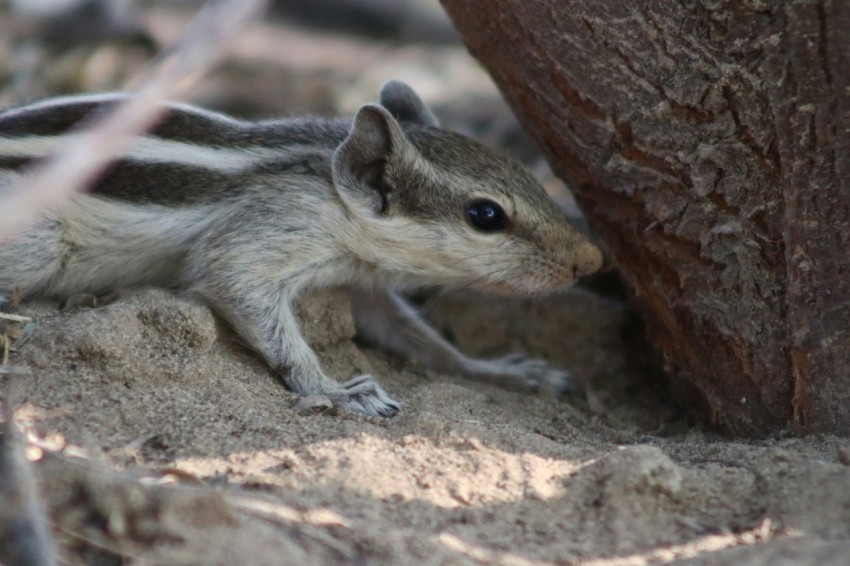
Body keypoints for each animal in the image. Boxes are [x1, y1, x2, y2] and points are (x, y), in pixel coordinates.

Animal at [0, 81, 604, 418]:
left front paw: (499, 372)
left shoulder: (361, 284)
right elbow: (238, 286)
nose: (591, 260)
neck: (332, 188)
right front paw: (334, 390)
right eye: (486, 216)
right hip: (40, 239)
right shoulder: (268, 233)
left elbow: (419, 339)